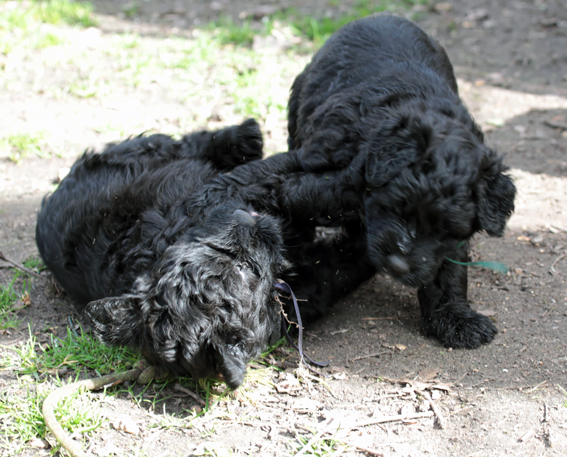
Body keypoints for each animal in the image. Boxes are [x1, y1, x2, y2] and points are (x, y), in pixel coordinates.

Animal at [36, 119, 372, 386]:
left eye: (210, 246)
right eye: (244, 268)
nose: (244, 219)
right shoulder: (228, 189)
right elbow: (286, 175)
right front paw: (341, 158)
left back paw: (244, 137)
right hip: (145, 151)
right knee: (189, 143)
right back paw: (246, 135)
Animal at [288, 15, 520, 350]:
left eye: (447, 231)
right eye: (398, 207)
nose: (398, 266)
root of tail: (382, 15)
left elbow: (449, 270)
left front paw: (455, 317)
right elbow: (302, 199)